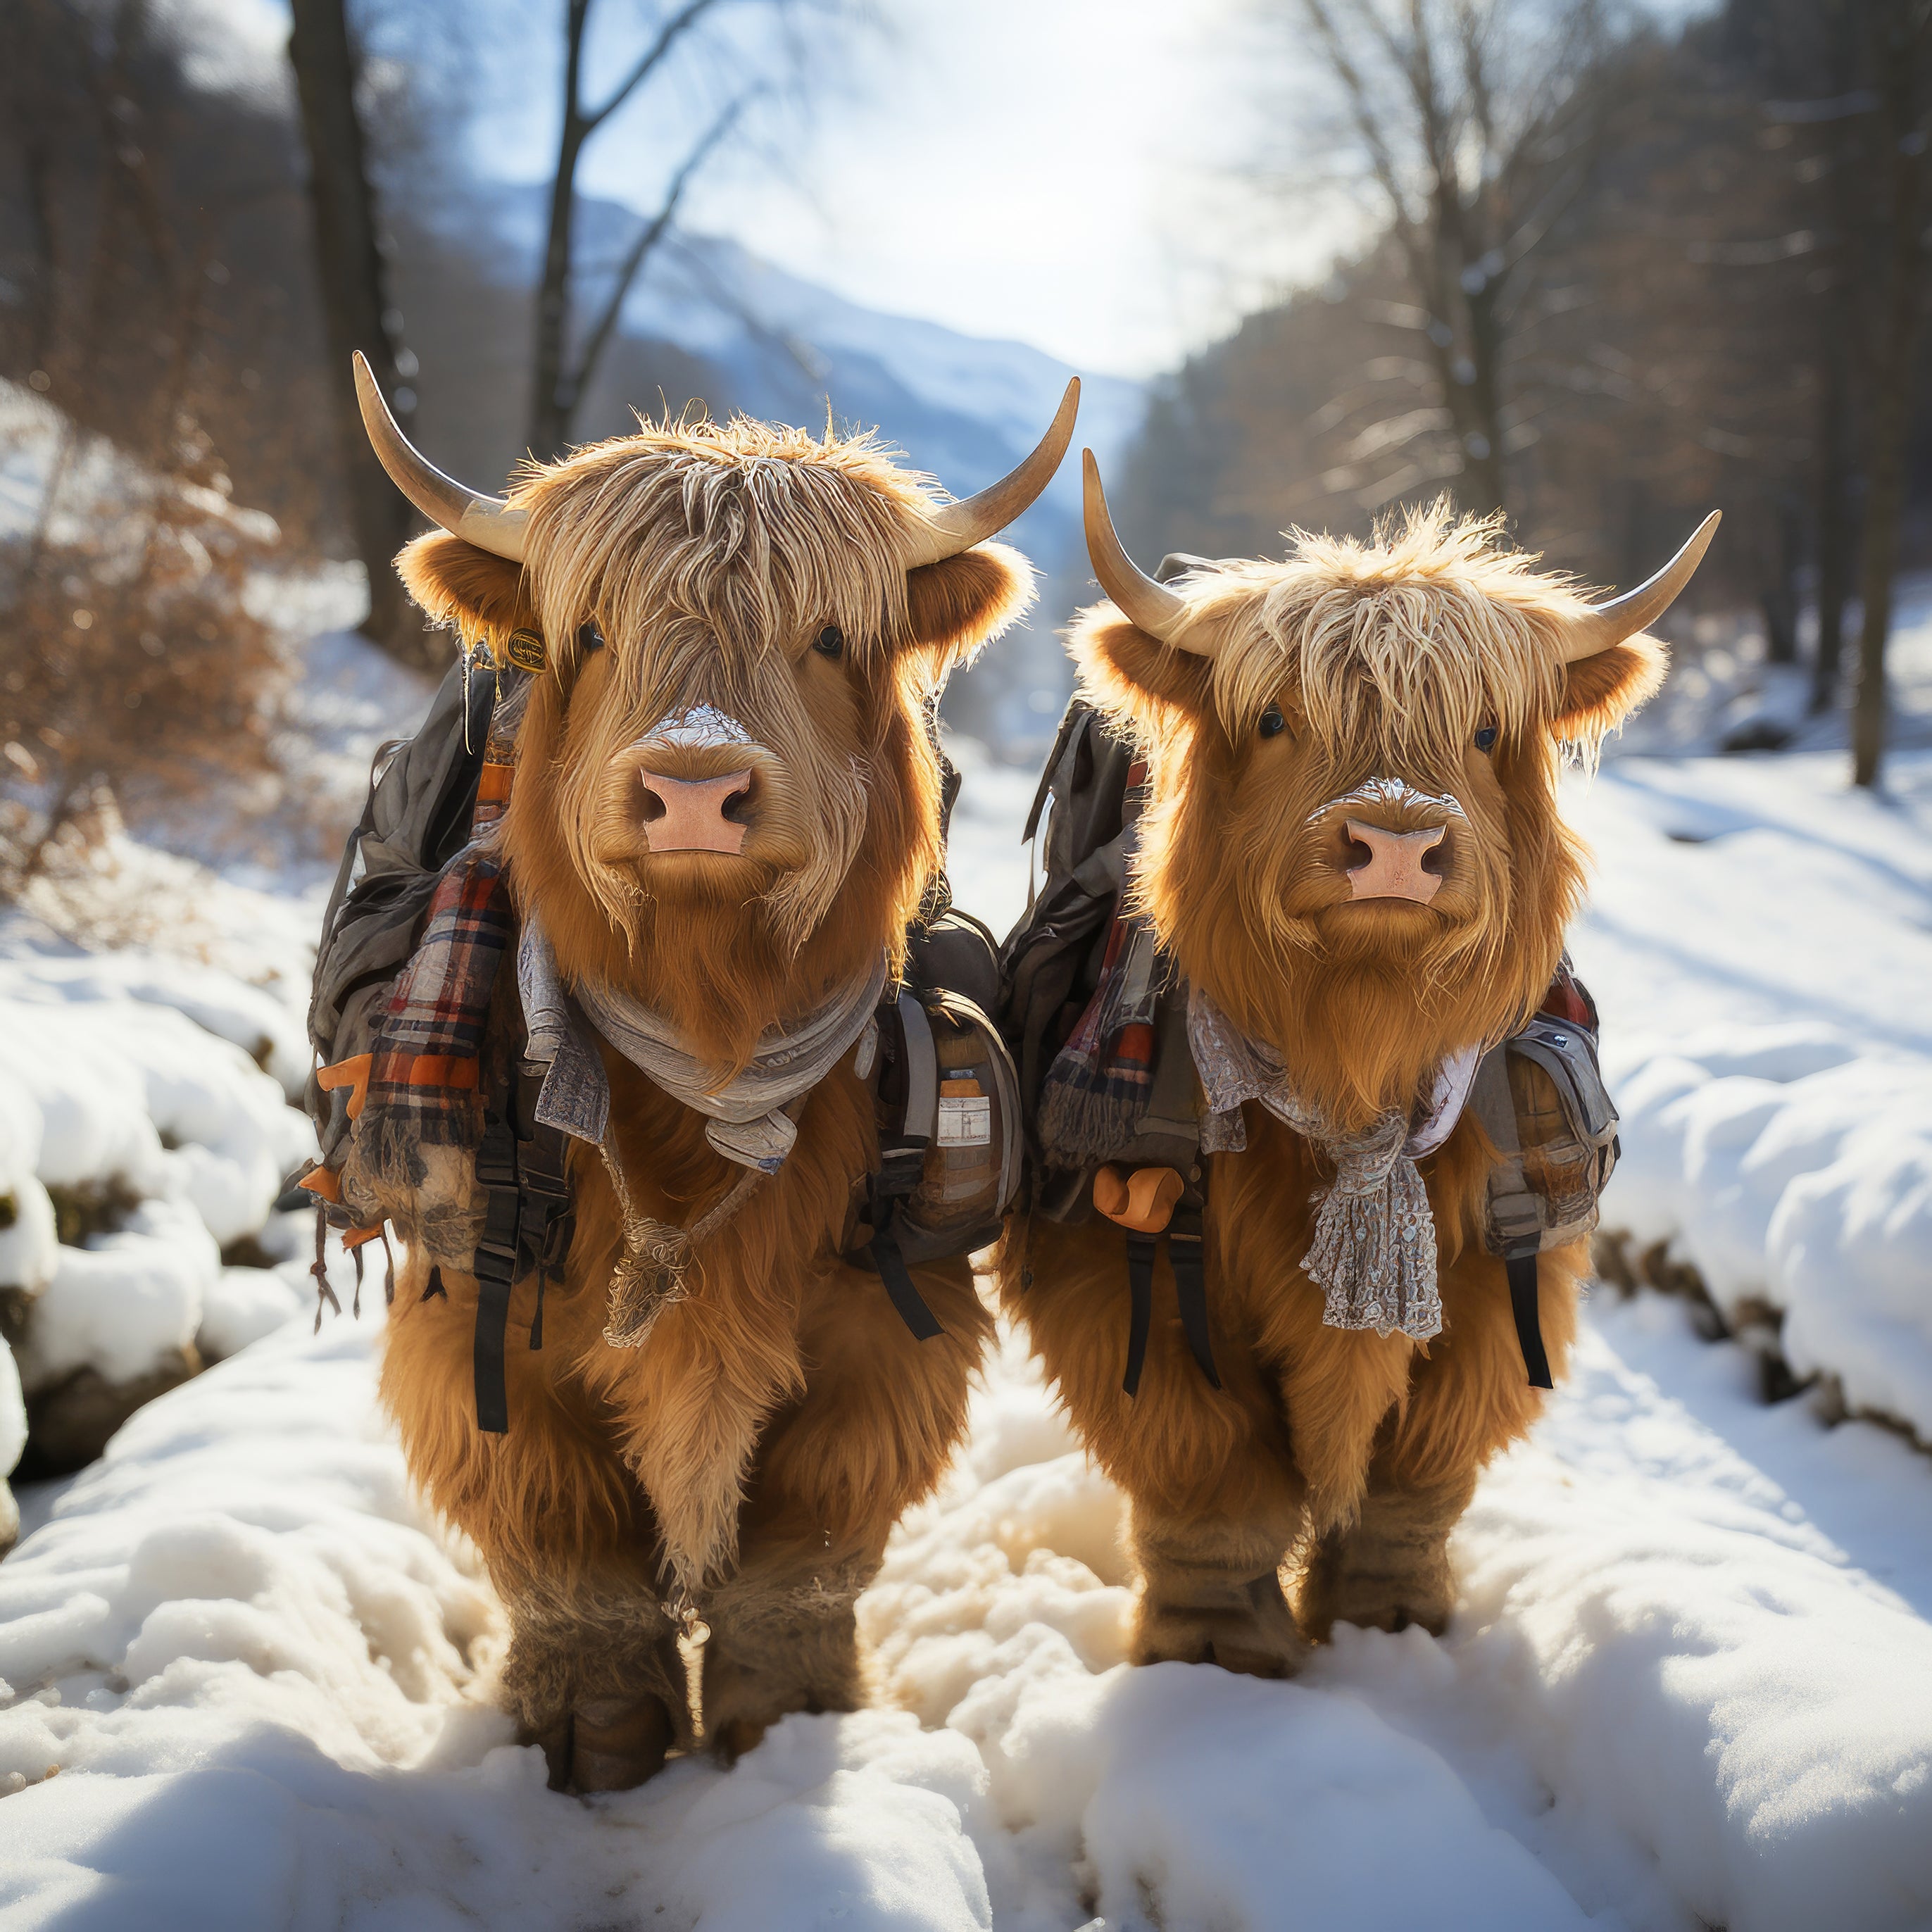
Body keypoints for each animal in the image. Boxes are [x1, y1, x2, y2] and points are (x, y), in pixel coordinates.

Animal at [344, 361, 1076, 1790]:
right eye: (588, 633)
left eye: (830, 638)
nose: (693, 785)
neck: (708, 1057)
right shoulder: (479, 1323)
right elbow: (565, 1546)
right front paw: (593, 1735)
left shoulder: (888, 1330)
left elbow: (804, 1549)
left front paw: (785, 1720)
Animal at [1002, 453, 1713, 1677]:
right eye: (1275, 718)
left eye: (1486, 730)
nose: (1394, 842)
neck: (1355, 1061)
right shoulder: (1118, 1260)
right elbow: (1208, 1466)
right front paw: (1218, 1653)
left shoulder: (1499, 1270)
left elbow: (1419, 1464)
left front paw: (1391, 1619)